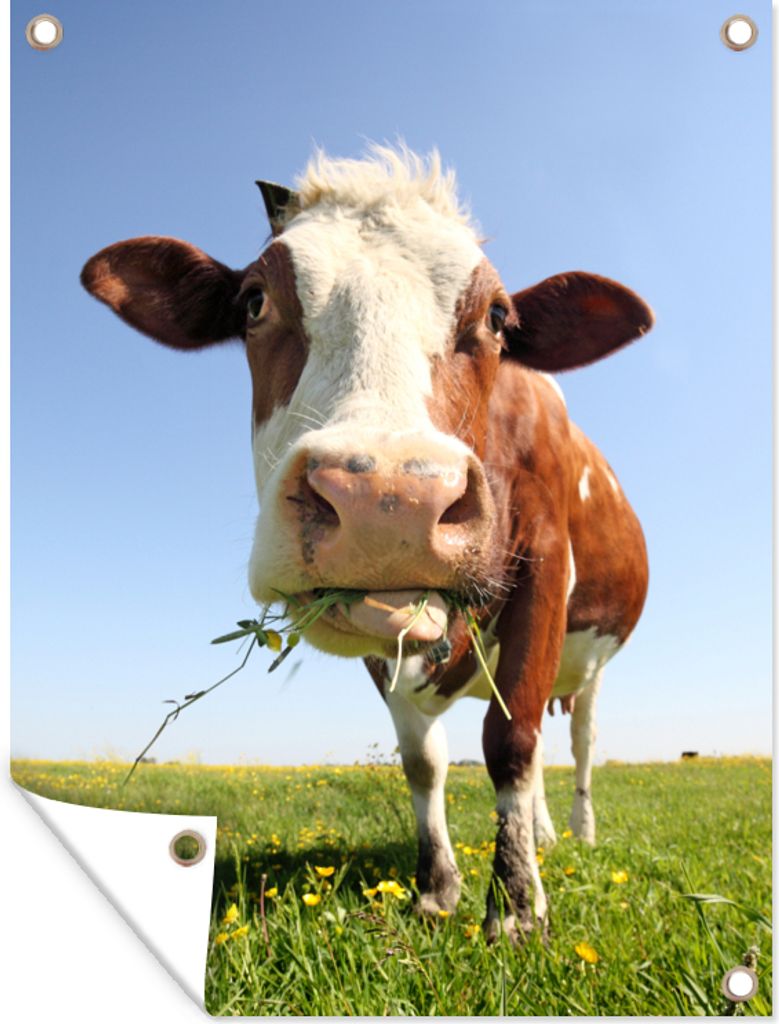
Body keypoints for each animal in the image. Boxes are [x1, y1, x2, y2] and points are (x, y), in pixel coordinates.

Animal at [81, 146, 651, 943]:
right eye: (253, 302)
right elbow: (423, 760)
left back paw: (574, 833)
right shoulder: (382, 630)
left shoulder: (542, 567)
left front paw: (514, 907)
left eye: (498, 317)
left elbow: (509, 742)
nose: (388, 499)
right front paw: (438, 888)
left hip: (592, 663)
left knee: (574, 743)